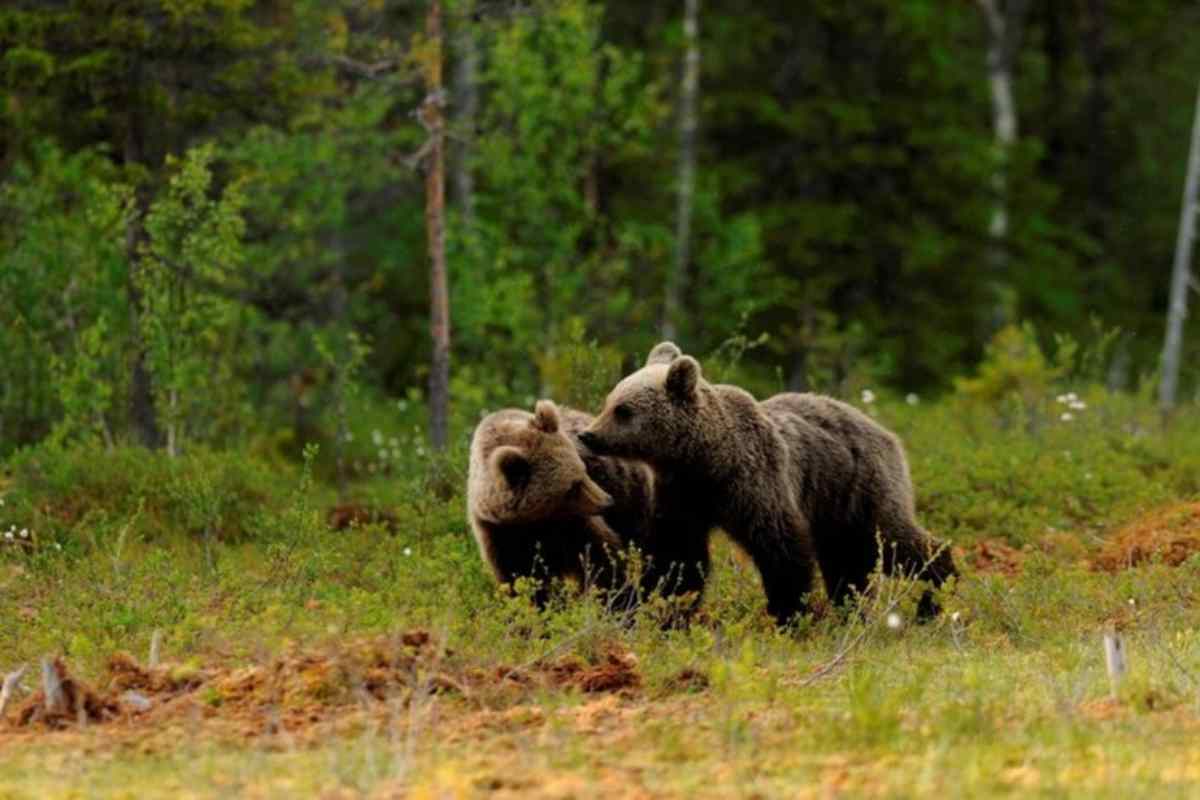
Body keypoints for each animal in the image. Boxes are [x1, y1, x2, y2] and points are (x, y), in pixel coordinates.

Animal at [468, 395, 710, 614]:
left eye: (583, 470)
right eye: (572, 487)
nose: (608, 502)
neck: (535, 521)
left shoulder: (575, 525)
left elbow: (602, 560)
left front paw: (618, 604)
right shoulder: (500, 533)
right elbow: (522, 580)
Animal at [578, 340, 955, 628]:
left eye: (623, 410)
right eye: (609, 401)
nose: (588, 434)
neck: (705, 459)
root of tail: (884, 431)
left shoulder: (754, 482)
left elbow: (781, 546)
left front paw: (788, 615)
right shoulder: (682, 495)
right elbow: (679, 556)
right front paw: (662, 608)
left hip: (861, 487)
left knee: (891, 540)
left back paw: (937, 592)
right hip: (835, 506)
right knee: (847, 563)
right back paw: (853, 610)